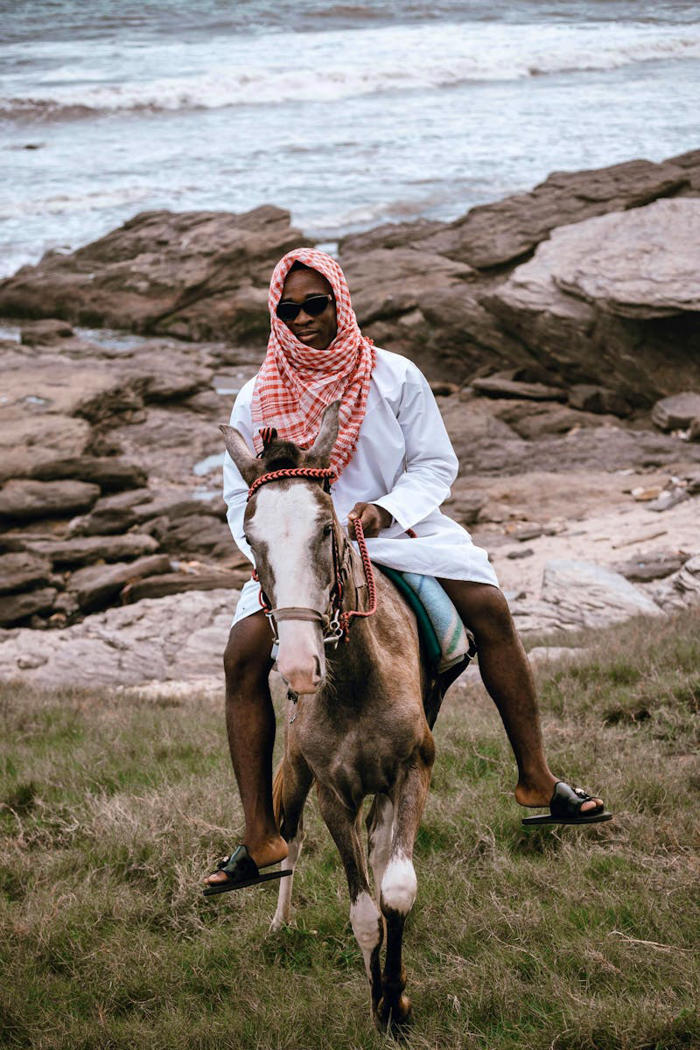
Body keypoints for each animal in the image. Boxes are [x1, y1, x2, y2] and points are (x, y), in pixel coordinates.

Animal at [221, 401, 457, 1033]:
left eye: (327, 528)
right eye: (251, 538)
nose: (300, 665)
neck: (352, 684)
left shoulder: (412, 772)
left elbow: (395, 890)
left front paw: (394, 999)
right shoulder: (332, 792)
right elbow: (364, 913)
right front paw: (380, 1001)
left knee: (377, 848)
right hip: (296, 775)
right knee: (290, 836)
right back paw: (279, 921)